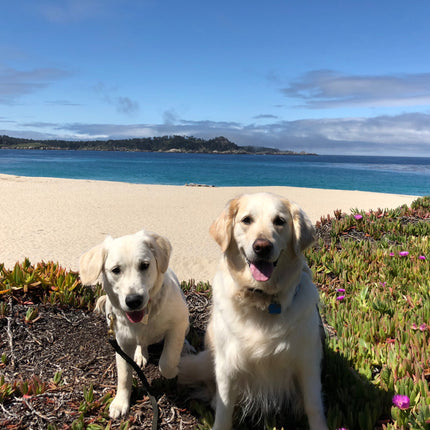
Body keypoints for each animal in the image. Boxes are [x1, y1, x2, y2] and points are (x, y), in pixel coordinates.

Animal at [80, 230, 189, 418]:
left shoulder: (178, 322)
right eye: (116, 270)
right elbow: (124, 375)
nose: (133, 300)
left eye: (144, 265)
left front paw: (174, 370)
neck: (146, 316)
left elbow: (166, 362)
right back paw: (140, 353)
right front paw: (121, 402)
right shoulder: (121, 343)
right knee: (141, 343)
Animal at [180, 193, 328, 428]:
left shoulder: (308, 361)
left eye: (280, 221)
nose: (262, 247)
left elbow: (313, 405)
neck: (262, 299)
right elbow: (224, 409)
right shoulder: (227, 365)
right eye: (246, 220)